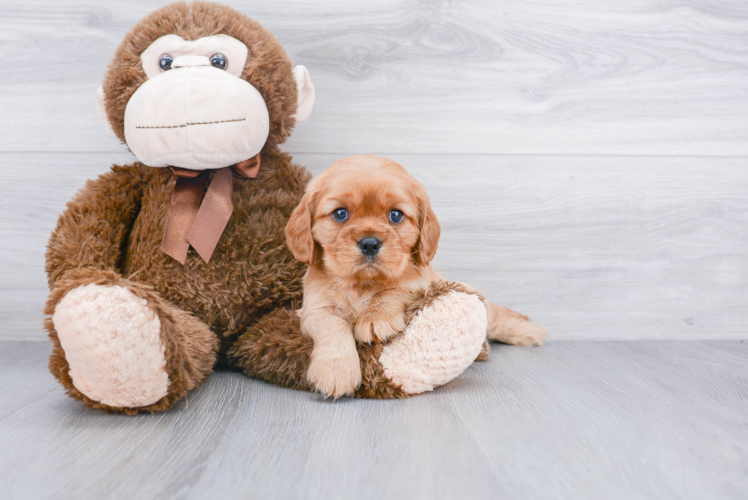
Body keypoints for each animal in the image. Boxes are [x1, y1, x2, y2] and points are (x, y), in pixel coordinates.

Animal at [284, 156, 548, 398]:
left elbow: (393, 290)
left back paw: (530, 331)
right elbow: (334, 325)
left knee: (497, 317)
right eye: (340, 214)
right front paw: (335, 372)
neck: (363, 284)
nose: (369, 244)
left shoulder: (422, 283)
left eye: (396, 215)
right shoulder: (314, 310)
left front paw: (375, 318)